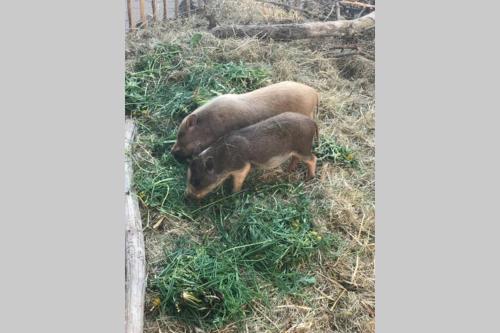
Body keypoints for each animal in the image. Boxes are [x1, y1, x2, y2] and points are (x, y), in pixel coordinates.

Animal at [186, 111, 318, 200]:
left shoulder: (242, 167)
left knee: (313, 158)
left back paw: (309, 178)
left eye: (197, 181)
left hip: (303, 148)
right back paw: (289, 170)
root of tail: (312, 122)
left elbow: (238, 181)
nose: (187, 197)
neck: (223, 159)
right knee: (296, 158)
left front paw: (233, 194)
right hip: (297, 151)